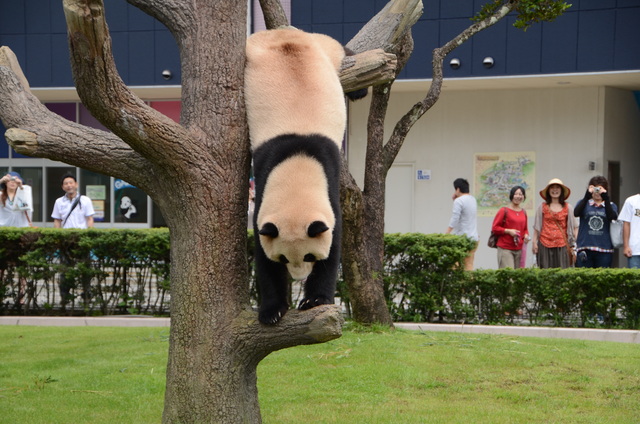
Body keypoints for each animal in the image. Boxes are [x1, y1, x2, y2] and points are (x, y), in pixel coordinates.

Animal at [245, 28, 358, 324]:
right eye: (284, 258)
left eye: (309, 256)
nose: (297, 278)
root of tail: (280, 31)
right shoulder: (262, 193)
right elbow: (263, 259)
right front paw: (272, 311)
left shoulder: (330, 190)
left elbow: (333, 249)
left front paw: (314, 299)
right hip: (252, 50)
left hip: (318, 49)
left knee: (336, 46)